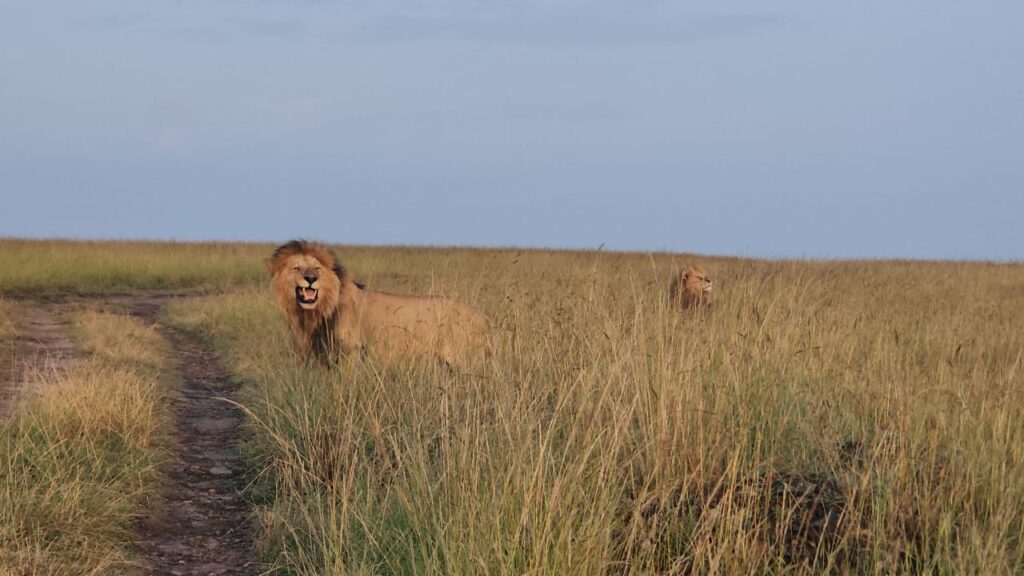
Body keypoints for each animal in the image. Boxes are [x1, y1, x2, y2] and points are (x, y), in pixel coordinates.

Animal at [267, 240, 489, 368]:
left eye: (317, 268)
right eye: (297, 268)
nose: (311, 278)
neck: (317, 312)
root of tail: (482, 317)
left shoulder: (350, 354)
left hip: (468, 361)